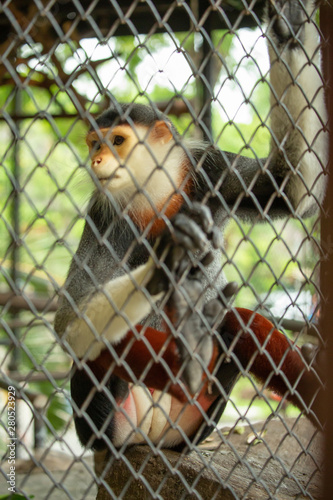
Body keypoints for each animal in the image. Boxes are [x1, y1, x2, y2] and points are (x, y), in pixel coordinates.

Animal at [53, 0, 326, 454]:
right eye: (94, 143)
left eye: (117, 141)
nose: (96, 160)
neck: (157, 195)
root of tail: (152, 435)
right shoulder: (103, 217)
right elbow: (70, 323)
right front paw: (169, 259)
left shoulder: (207, 172)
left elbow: (287, 188)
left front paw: (289, 32)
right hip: (110, 424)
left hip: (193, 421)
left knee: (240, 321)